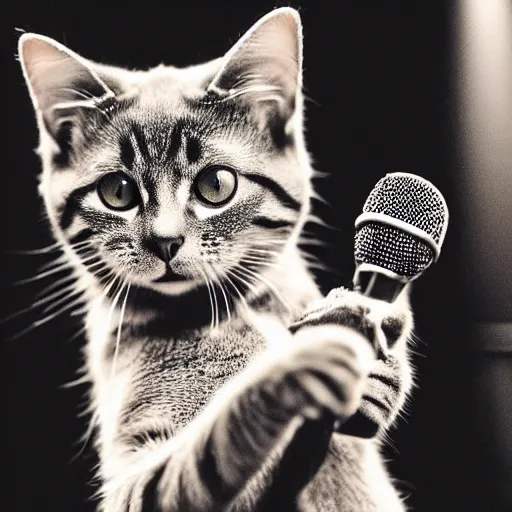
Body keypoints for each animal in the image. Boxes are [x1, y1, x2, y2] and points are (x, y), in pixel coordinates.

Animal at [18, 8, 414, 512]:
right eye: (118, 192)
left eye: (215, 185)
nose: (165, 242)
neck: (237, 308)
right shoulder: (135, 485)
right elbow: (207, 447)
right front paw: (296, 362)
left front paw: (381, 355)